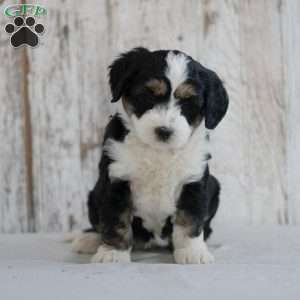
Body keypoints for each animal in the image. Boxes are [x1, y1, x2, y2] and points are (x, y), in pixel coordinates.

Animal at [71, 47, 229, 264]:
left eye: (188, 103)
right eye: (148, 95)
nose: (164, 131)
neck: (158, 152)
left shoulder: (193, 182)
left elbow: (190, 219)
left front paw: (192, 252)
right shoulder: (115, 180)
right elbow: (115, 220)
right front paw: (113, 253)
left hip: (214, 187)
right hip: (94, 194)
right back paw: (89, 239)